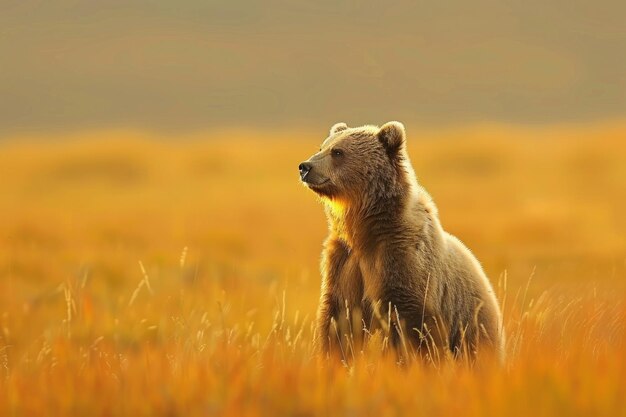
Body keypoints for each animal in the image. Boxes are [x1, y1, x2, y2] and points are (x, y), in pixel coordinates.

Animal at [298, 121, 502, 364]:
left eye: (338, 152)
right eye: (322, 147)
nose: (305, 167)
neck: (364, 229)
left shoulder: (402, 257)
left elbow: (413, 325)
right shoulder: (344, 262)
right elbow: (340, 320)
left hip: (471, 323)